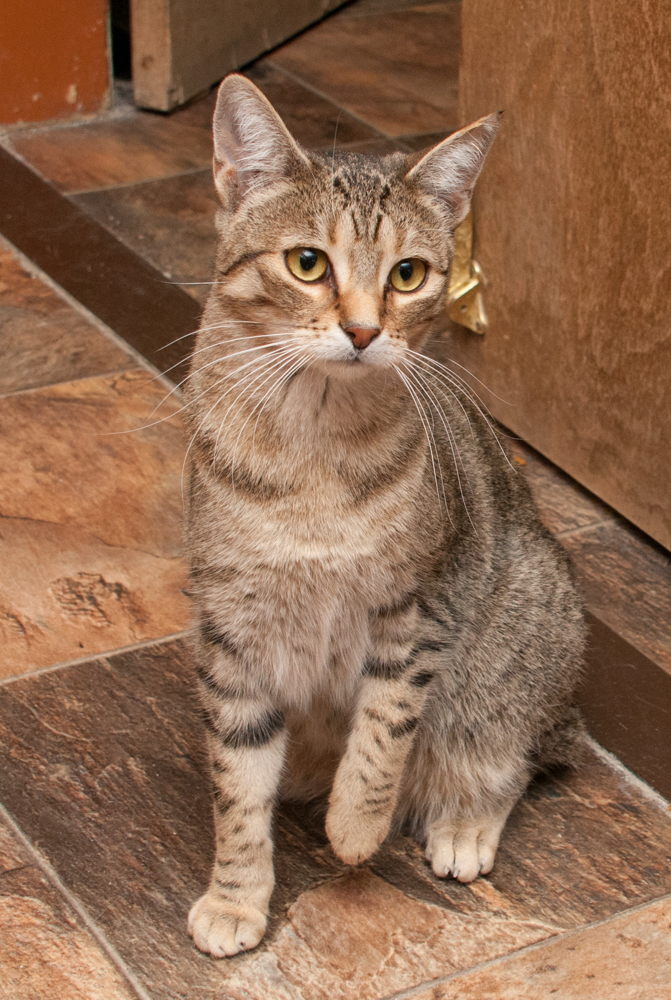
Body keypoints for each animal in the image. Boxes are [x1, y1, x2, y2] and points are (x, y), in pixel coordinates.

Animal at [181, 74, 584, 956]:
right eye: (307, 263)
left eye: (407, 273)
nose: (364, 329)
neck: (312, 453)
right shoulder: (233, 631)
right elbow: (236, 784)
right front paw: (236, 895)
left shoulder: (418, 611)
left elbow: (381, 736)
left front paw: (356, 827)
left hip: (520, 642)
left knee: (508, 756)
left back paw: (461, 822)